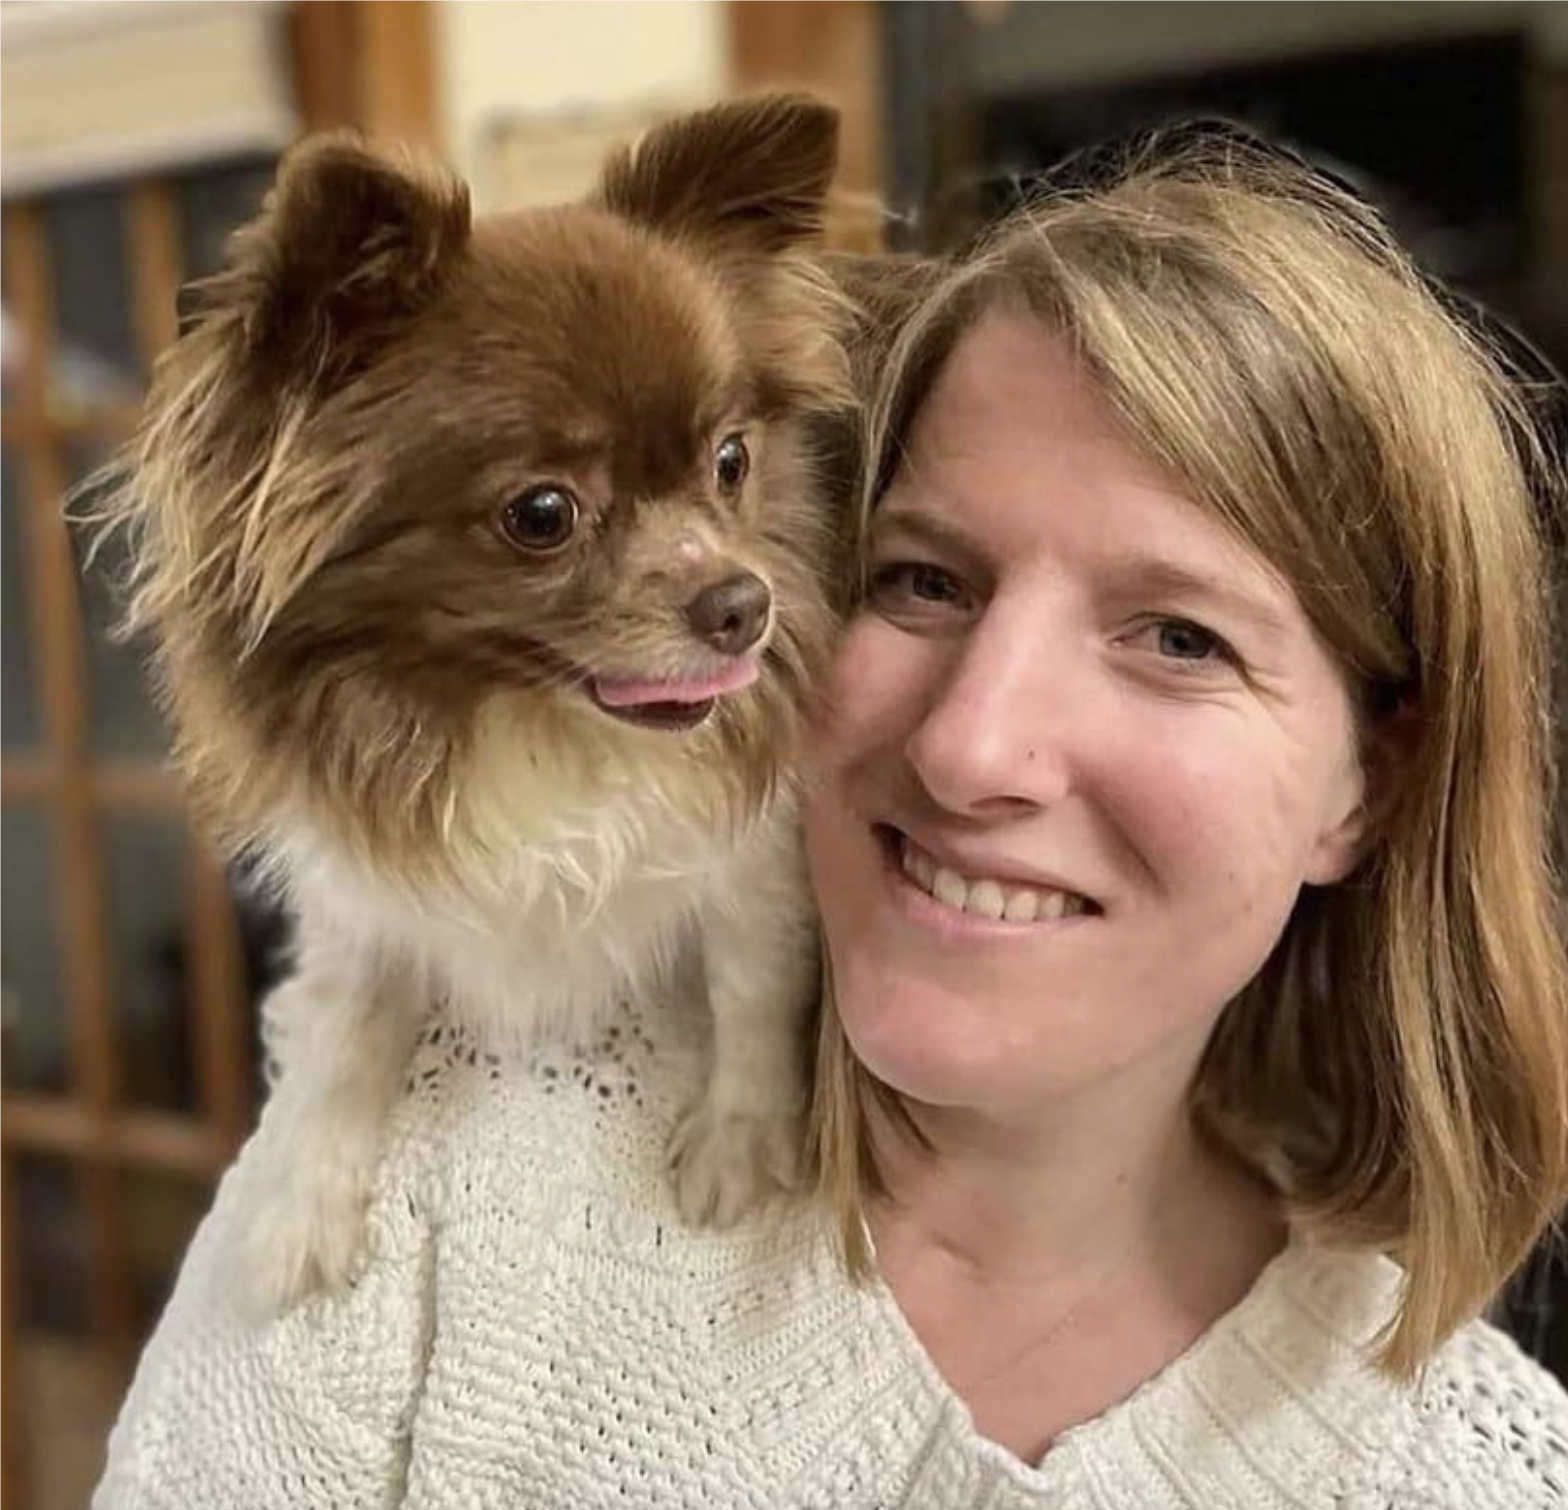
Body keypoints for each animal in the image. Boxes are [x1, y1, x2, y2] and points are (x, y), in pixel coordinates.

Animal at [93, 94, 857, 1313]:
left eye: (731, 462)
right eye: (542, 514)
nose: (743, 603)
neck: (530, 730)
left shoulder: (754, 863)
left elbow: (751, 984)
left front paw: (738, 1141)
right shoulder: (356, 903)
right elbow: (341, 1033)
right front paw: (305, 1204)